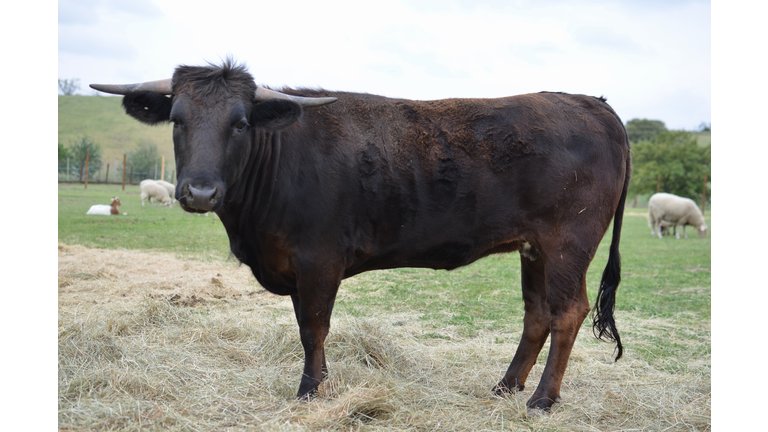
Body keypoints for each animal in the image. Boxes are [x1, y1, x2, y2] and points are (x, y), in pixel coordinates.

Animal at [90, 60, 632, 412]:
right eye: (177, 120)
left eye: (240, 123)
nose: (200, 191)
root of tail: (591, 102)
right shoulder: (295, 265)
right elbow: (306, 327)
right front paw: (322, 384)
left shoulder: (319, 259)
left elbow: (313, 328)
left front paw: (310, 393)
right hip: (533, 249)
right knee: (536, 315)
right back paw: (505, 387)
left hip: (567, 245)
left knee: (567, 313)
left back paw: (542, 399)